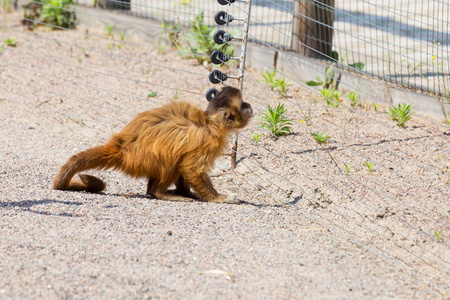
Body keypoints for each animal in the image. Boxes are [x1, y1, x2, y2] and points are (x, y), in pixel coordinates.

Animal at [52, 86, 253, 204]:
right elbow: (191, 168)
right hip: (142, 158)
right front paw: (218, 198)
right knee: (171, 159)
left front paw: (187, 192)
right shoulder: (208, 141)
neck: (210, 123)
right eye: (243, 104)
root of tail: (121, 146)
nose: (249, 104)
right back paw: (158, 192)